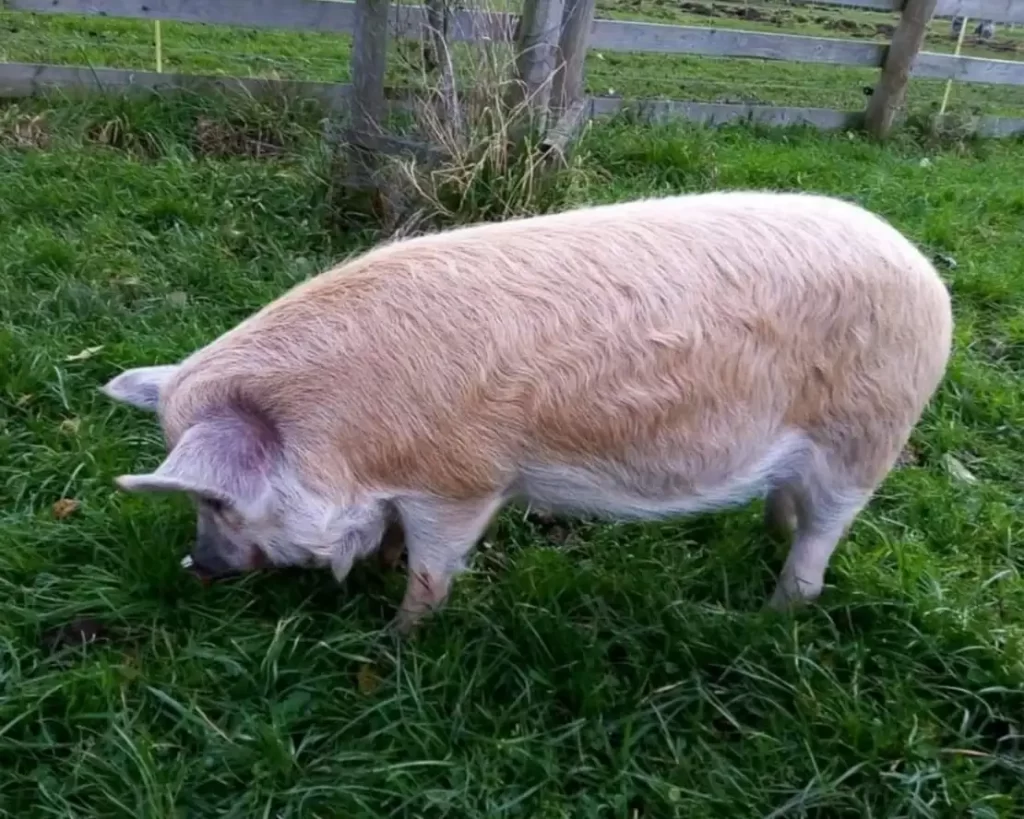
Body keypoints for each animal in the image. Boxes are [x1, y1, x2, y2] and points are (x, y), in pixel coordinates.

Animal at [103, 193, 950, 634]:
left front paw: (397, 637)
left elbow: (435, 566)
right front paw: (381, 572)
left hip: (868, 433)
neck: (346, 439)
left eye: (217, 499)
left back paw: (764, 616)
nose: (197, 565)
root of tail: (925, 271)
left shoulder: (464, 481)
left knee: (821, 540)